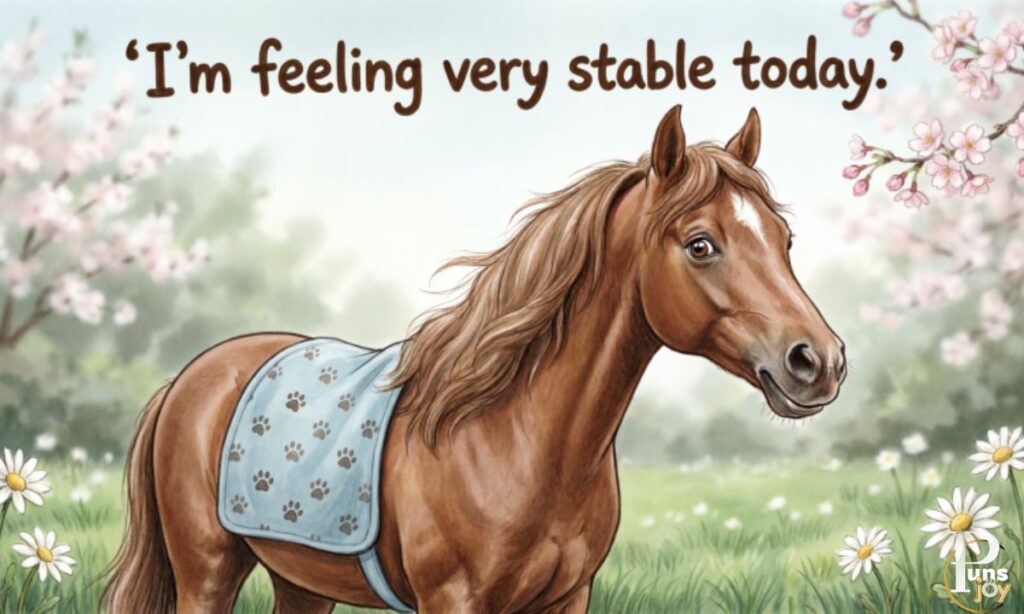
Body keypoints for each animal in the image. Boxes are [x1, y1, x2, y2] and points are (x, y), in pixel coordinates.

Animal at [101, 104, 846, 613]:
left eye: (783, 238)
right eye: (700, 244)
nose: (819, 361)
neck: (512, 438)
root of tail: (190, 378)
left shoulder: (568, 598)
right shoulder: (453, 602)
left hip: (301, 580)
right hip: (207, 573)